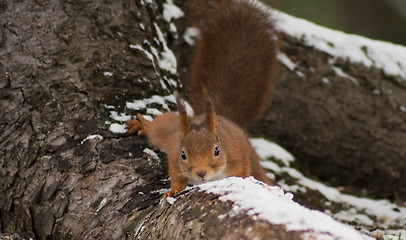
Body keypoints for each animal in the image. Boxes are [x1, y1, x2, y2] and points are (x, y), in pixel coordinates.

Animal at [126, 0, 280, 199]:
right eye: (184, 154)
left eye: (216, 150)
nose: (201, 172)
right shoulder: (175, 154)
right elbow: (176, 175)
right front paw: (173, 190)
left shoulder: (239, 157)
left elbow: (243, 173)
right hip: (167, 132)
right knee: (157, 129)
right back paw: (143, 125)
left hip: (252, 157)